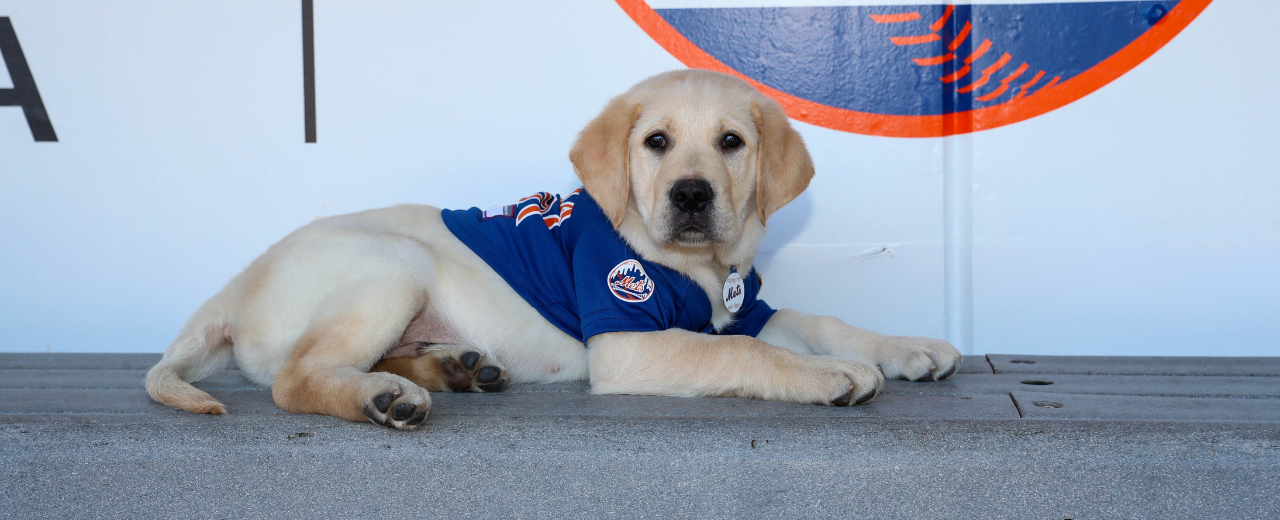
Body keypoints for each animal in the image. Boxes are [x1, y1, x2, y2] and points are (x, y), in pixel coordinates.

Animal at [145, 69, 957, 427]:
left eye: (732, 143)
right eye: (656, 143)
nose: (692, 195)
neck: (698, 269)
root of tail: (232, 289)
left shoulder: (745, 307)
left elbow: (817, 323)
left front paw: (909, 347)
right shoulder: (626, 336)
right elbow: (740, 354)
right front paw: (830, 375)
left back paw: (455, 367)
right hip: (392, 265)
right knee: (296, 378)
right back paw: (385, 396)